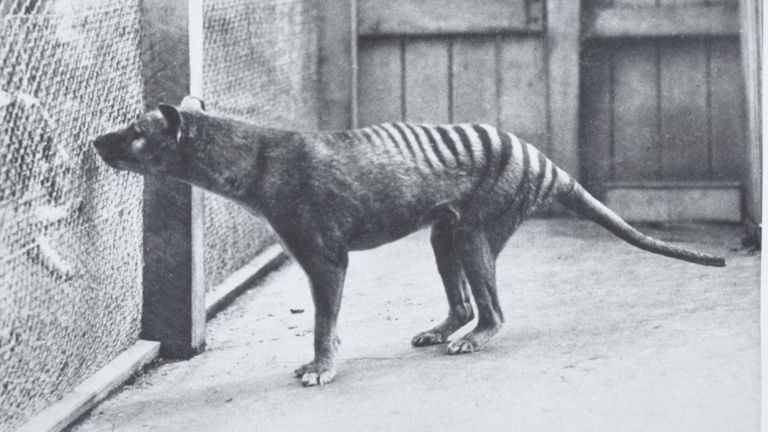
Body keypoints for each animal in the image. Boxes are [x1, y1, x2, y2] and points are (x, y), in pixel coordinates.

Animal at [92, 96, 725, 387]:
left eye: (136, 132)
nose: (97, 141)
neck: (257, 159)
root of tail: (543, 162)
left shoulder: (325, 255)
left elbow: (322, 318)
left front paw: (321, 366)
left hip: (475, 229)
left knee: (492, 309)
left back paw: (472, 340)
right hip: (445, 232)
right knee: (463, 300)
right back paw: (444, 329)